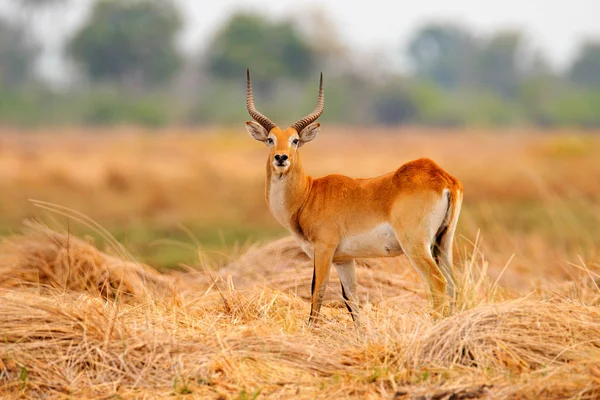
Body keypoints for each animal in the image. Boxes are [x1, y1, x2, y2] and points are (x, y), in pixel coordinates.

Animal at [244, 69, 464, 324]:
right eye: (270, 139)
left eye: (295, 140)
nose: (281, 158)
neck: (308, 195)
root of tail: (441, 176)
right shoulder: (344, 259)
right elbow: (351, 300)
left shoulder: (324, 249)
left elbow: (317, 292)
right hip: (443, 243)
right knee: (453, 284)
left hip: (416, 245)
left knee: (438, 282)